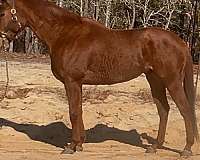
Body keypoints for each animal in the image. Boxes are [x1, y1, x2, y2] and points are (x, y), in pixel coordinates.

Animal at [0, 0, 198, 156]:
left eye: (2, 13)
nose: (2, 40)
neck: (64, 33)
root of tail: (180, 42)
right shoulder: (77, 83)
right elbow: (78, 111)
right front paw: (80, 144)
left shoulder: (71, 81)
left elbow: (73, 112)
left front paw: (71, 146)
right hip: (154, 80)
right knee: (163, 110)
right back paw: (155, 146)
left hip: (171, 81)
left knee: (185, 110)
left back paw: (187, 149)